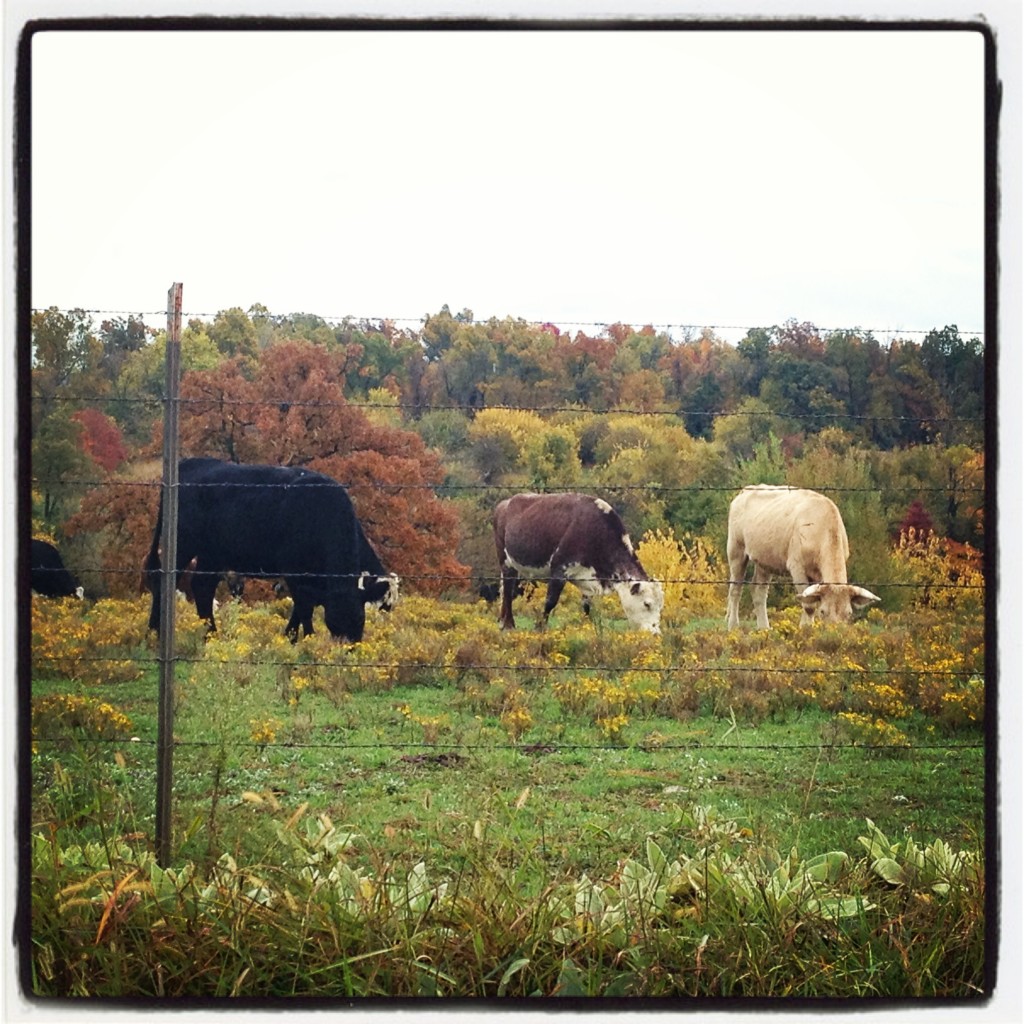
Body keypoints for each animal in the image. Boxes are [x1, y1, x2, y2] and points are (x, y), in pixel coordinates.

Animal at [144, 458, 399, 642]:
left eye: (359, 619)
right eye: (334, 620)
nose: (348, 648)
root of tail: (189, 463)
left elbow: (300, 607)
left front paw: (292, 637)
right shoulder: (294, 572)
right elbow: (304, 608)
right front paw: (303, 639)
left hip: (213, 553)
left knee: (202, 586)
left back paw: (210, 635)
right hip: (183, 544)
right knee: (164, 581)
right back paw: (155, 632)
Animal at [493, 492, 664, 634]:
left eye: (660, 606)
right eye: (647, 604)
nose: (655, 634)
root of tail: (506, 502)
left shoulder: (588, 580)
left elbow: (587, 605)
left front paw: (588, 628)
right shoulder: (559, 569)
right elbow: (550, 602)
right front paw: (540, 627)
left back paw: (502, 621)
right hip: (506, 561)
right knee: (507, 591)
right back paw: (508, 625)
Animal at [725, 484, 880, 629]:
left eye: (849, 613)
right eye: (823, 612)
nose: (834, 631)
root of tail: (747, 490)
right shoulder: (797, 567)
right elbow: (809, 606)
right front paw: (805, 629)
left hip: (764, 559)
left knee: (759, 591)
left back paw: (764, 628)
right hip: (736, 550)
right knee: (735, 589)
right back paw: (733, 625)